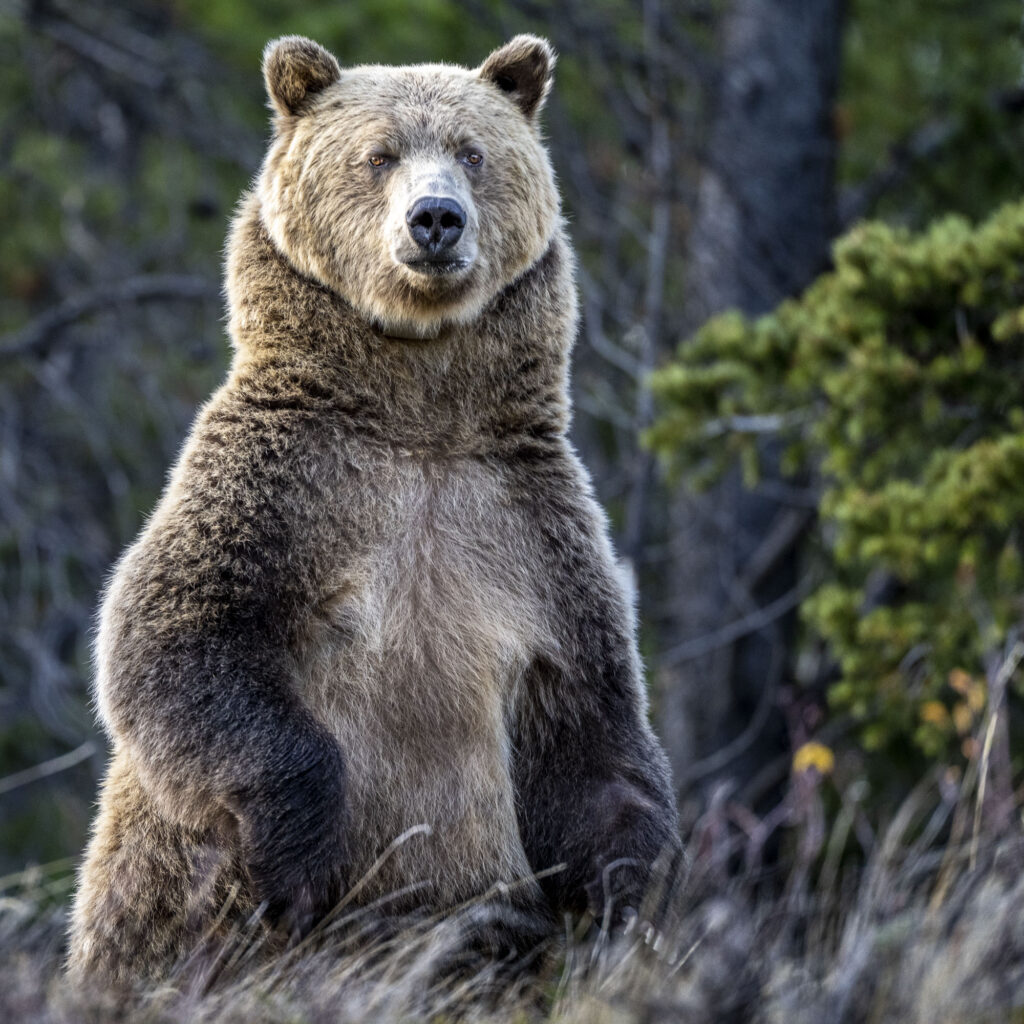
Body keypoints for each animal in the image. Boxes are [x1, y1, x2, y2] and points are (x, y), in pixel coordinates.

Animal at [67, 33, 680, 987]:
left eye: (472, 151)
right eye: (379, 153)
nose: (436, 219)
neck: (418, 417)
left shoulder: (533, 530)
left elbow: (591, 723)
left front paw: (624, 897)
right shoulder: (286, 485)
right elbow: (175, 639)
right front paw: (297, 861)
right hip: (158, 907)